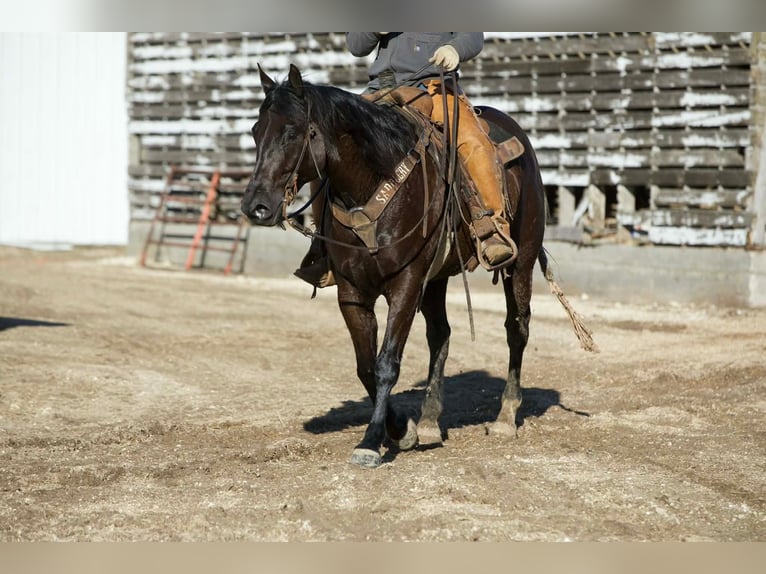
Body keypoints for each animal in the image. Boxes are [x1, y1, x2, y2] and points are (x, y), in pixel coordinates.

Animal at [242, 64, 595, 468]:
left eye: (292, 132)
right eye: (255, 131)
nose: (255, 206)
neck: (371, 185)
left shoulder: (406, 282)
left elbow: (386, 363)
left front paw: (371, 441)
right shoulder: (352, 291)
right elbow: (366, 365)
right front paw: (402, 429)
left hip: (520, 261)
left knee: (516, 328)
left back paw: (506, 417)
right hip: (436, 278)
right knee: (440, 335)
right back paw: (428, 421)